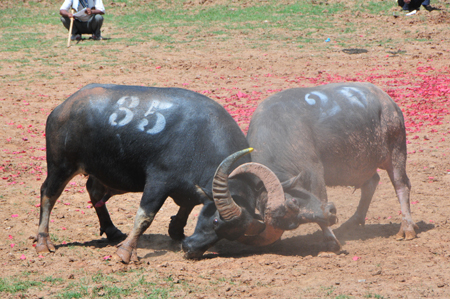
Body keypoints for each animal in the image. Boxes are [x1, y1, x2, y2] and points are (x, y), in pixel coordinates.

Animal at [35, 84, 336, 262]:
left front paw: (176, 230)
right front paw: (126, 253)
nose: (190, 250)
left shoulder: (189, 187)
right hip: (61, 165)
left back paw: (111, 231)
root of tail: (62, 107)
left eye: (230, 235)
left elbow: (188, 204)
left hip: (103, 173)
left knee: (95, 191)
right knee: (48, 194)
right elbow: (145, 216)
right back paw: (43, 242)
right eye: (215, 222)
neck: (198, 138)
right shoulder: (158, 180)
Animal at [248, 82, 416, 251]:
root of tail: (388, 102)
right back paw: (353, 222)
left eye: (293, 202)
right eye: (293, 223)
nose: (331, 213)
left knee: (402, 185)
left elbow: (320, 196)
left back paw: (407, 228)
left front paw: (330, 239)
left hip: (396, 151)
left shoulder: (315, 172)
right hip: (363, 164)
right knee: (371, 182)